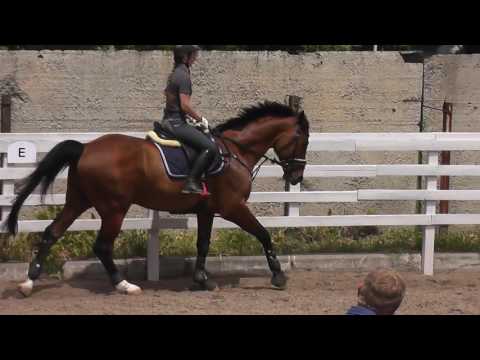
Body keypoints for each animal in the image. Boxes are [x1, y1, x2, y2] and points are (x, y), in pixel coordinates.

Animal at [5, 100, 310, 296]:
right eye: (303, 139)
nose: (296, 177)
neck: (234, 151)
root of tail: (85, 147)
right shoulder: (233, 207)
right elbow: (263, 234)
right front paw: (278, 276)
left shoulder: (207, 210)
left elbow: (203, 244)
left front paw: (201, 280)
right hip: (114, 208)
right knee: (102, 246)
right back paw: (124, 285)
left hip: (77, 201)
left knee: (51, 233)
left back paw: (28, 283)